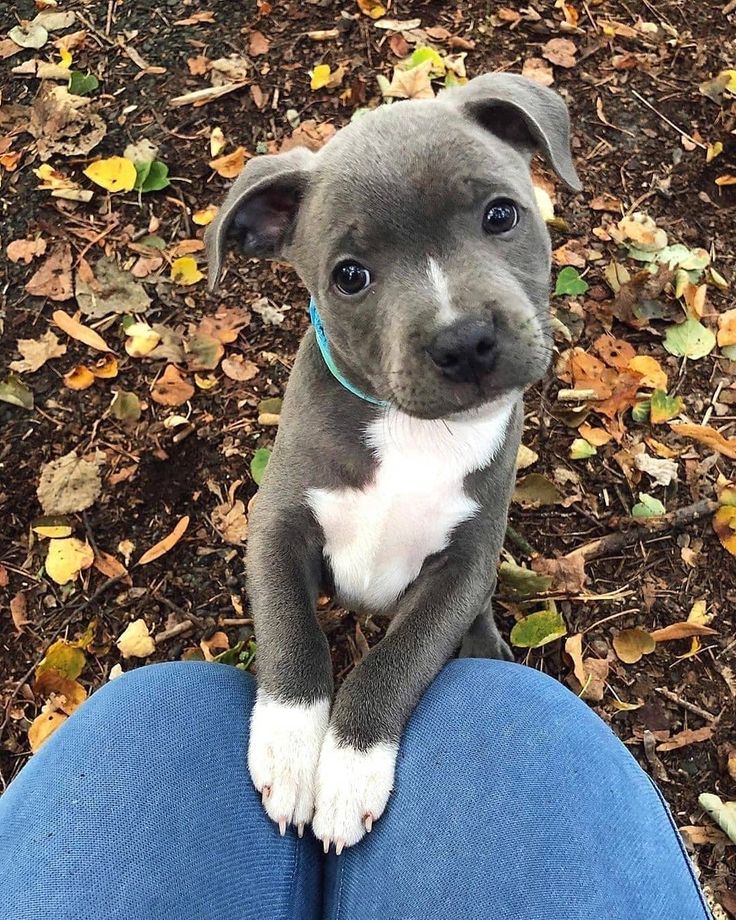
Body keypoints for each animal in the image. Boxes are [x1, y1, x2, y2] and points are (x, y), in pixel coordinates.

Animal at [207, 73, 580, 856]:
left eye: (501, 214)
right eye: (350, 276)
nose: (464, 341)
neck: (416, 433)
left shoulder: (462, 570)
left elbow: (397, 660)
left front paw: (349, 769)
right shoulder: (276, 525)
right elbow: (292, 634)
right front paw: (291, 752)